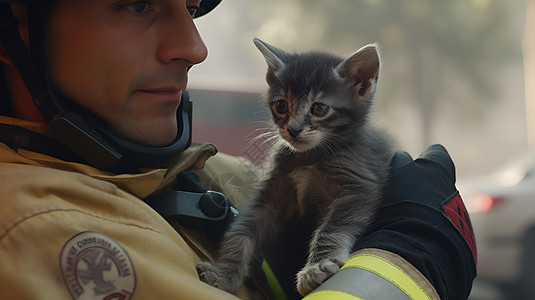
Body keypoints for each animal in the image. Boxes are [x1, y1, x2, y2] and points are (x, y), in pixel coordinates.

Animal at [196, 38, 394, 298]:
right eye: (281, 105)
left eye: (319, 108)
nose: (293, 129)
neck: (308, 158)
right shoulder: (269, 195)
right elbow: (240, 232)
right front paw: (224, 275)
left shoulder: (360, 185)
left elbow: (332, 227)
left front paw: (317, 267)